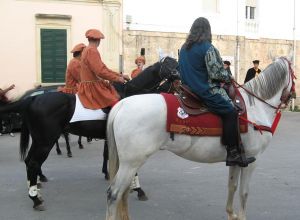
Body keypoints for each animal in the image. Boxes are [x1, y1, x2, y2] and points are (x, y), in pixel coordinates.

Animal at [0, 56, 178, 210]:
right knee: (33, 163)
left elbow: (108, 155)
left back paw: (35, 186)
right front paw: (138, 189)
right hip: (45, 141)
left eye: (176, 62)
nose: (179, 77)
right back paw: (35, 198)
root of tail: (33, 99)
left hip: (39, 140)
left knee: (29, 161)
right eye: (168, 64)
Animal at [105, 57, 296, 220]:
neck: (255, 108)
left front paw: (230, 214)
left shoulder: (237, 160)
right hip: (130, 164)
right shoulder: (252, 160)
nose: (293, 96)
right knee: (114, 194)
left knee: (123, 193)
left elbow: (232, 186)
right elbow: (244, 192)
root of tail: (122, 104)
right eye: (294, 73)